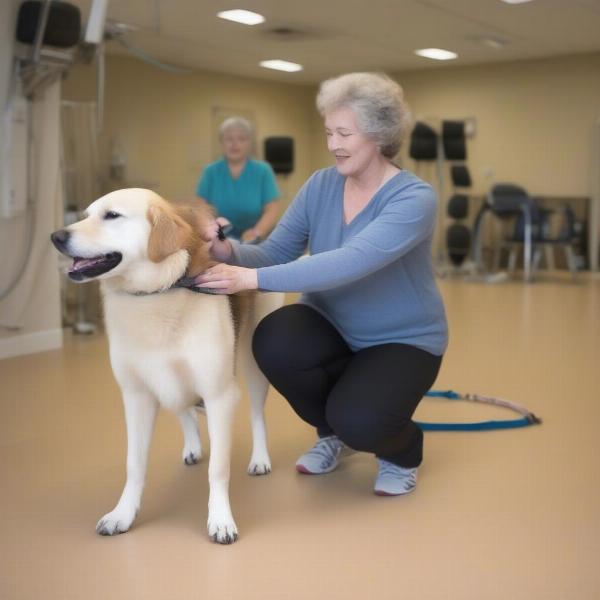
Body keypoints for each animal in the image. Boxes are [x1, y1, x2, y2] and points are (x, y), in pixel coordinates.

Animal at [50, 188, 282, 544]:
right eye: (86, 215)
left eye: (112, 216)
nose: (56, 237)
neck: (157, 292)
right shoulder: (136, 395)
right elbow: (134, 464)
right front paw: (123, 514)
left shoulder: (218, 395)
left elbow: (218, 469)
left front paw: (220, 519)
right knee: (184, 409)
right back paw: (193, 446)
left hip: (252, 363)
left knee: (257, 414)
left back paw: (259, 459)